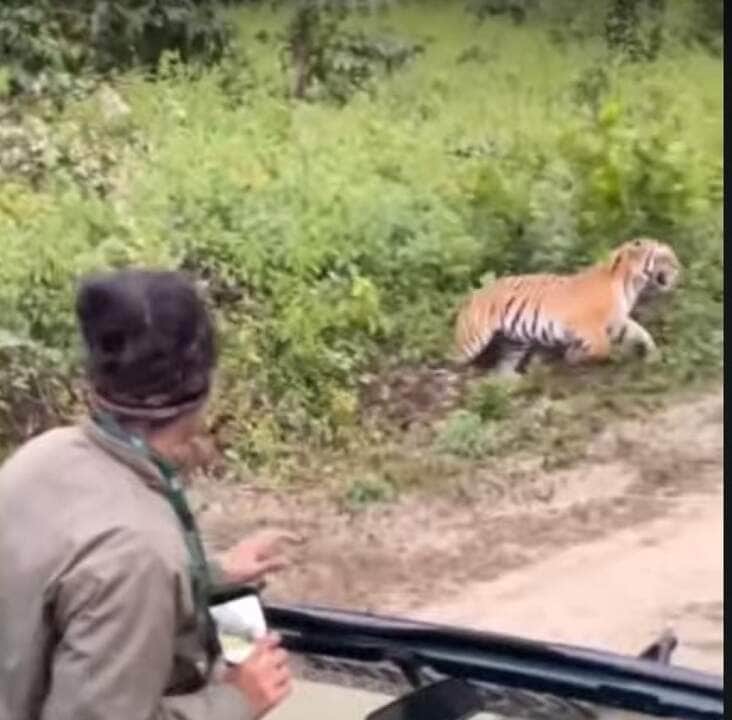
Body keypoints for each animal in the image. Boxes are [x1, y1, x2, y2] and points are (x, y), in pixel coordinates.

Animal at [453, 237, 681, 376]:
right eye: (665, 256)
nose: (680, 268)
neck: (630, 283)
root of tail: (471, 295)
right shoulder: (586, 324)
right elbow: (603, 347)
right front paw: (574, 355)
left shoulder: (617, 321)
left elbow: (641, 332)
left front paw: (653, 355)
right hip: (472, 341)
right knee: (453, 360)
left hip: (515, 343)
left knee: (502, 369)